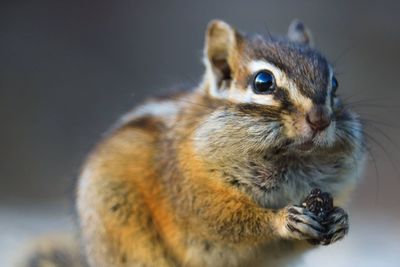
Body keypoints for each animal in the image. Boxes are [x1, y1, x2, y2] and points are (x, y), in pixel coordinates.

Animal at [21, 19, 366, 267]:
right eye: (263, 82)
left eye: (335, 84)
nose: (320, 119)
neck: (290, 161)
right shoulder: (188, 187)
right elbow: (221, 219)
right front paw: (282, 219)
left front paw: (341, 221)